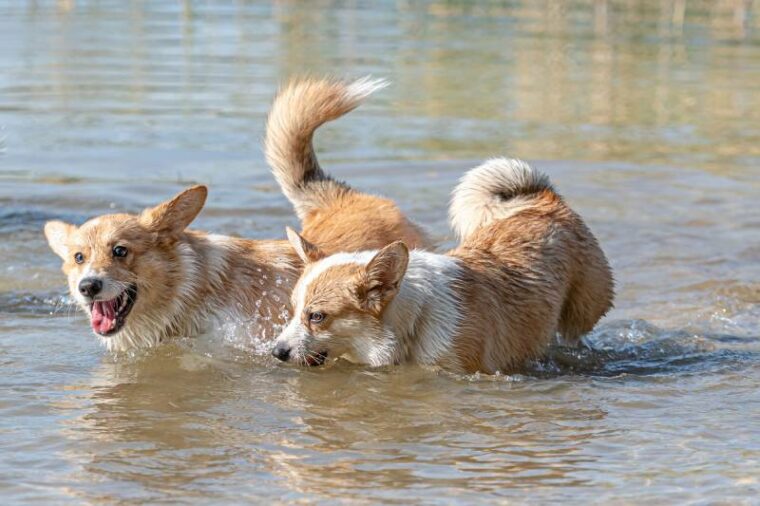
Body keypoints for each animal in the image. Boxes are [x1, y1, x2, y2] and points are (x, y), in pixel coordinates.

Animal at [270, 160, 616, 374]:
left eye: (317, 316)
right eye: (292, 310)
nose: (276, 352)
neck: (412, 325)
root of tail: (545, 199)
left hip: (581, 313)